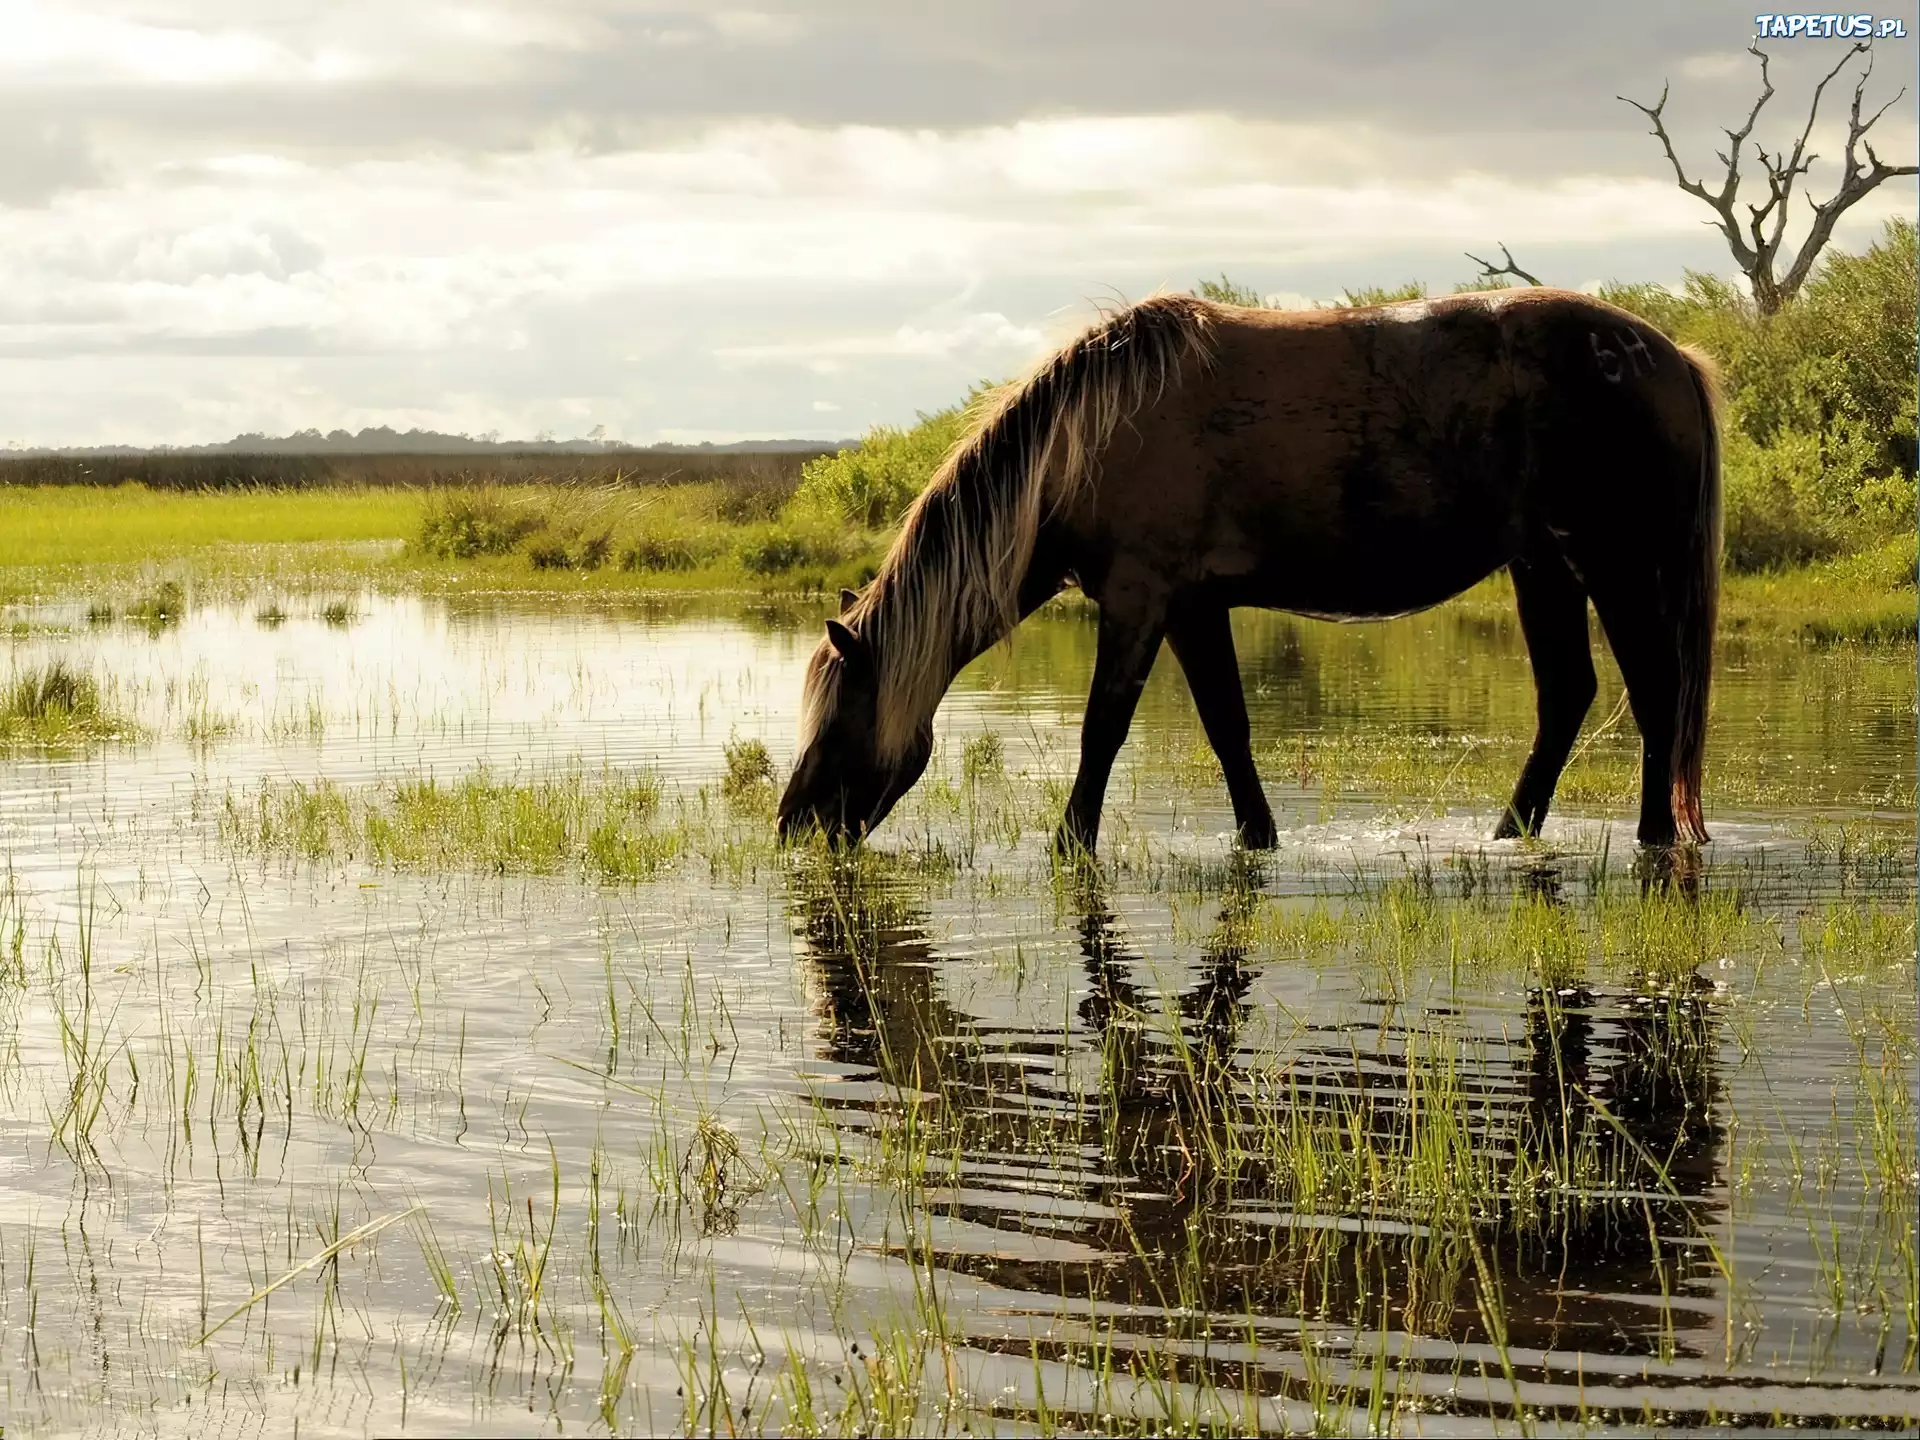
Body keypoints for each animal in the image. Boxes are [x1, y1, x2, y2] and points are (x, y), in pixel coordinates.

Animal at [779, 291, 1728, 856]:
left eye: (840, 717)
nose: (792, 824)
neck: (1089, 439)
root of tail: (1672, 357)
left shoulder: (1140, 600)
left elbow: (1102, 730)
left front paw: (1069, 845)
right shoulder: (1194, 608)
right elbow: (1228, 728)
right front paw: (1256, 838)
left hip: (1612, 562)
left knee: (1653, 689)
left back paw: (1653, 836)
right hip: (1543, 566)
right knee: (1569, 694)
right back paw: (1509, 831)